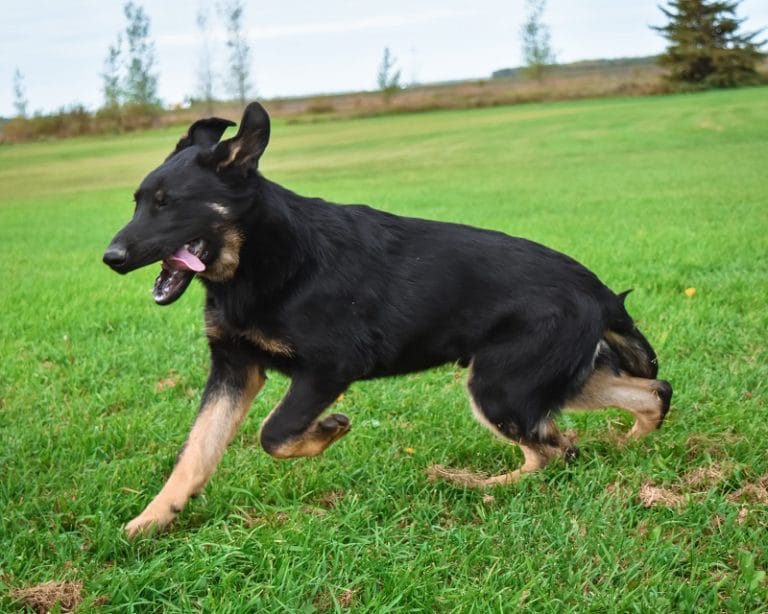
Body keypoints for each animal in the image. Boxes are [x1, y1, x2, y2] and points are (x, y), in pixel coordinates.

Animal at [103, 103, 672, 536]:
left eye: (167, 204)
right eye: (137, 202)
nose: (111, 258)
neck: (259, 258)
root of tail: (595, 289)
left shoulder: (328, 368)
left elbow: (273, 433)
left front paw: (327, 430)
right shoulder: (233, 369)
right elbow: (196, 452)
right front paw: (154, 518)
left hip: (500, 388)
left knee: (559, 450)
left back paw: (478, 485)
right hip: (542, 381)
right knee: (646, 395)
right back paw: (624, 444)